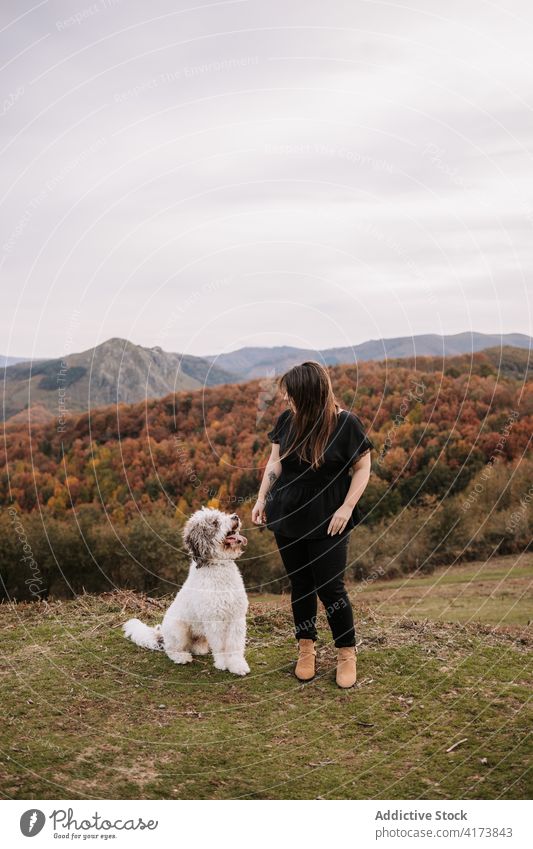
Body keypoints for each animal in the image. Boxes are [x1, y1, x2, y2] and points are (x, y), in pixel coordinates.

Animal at [123, 504, 250, 676]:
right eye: (215, 522)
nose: (235, 516)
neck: (219, 566)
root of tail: (161, 635)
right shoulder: (215, 620)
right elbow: (221, 645)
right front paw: (223, 664)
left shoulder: (236, 617)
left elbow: (234, 645)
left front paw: (237, 665)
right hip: (178, 630)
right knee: (171, 649)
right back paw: (181, 657)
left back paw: (200, 648)